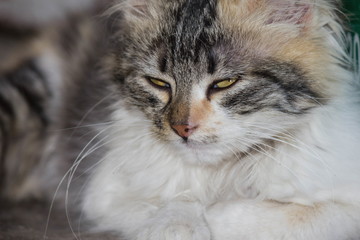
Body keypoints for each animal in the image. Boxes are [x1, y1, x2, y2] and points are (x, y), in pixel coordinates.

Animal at [0, 0, 360, 240]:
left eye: (224, 83)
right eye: (159, 83)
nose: (183, 128)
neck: (223, 175)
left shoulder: (345, 197)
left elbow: (294, 215)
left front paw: (218, 217)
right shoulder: (103, 191)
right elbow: (178, 200)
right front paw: (182, 226)